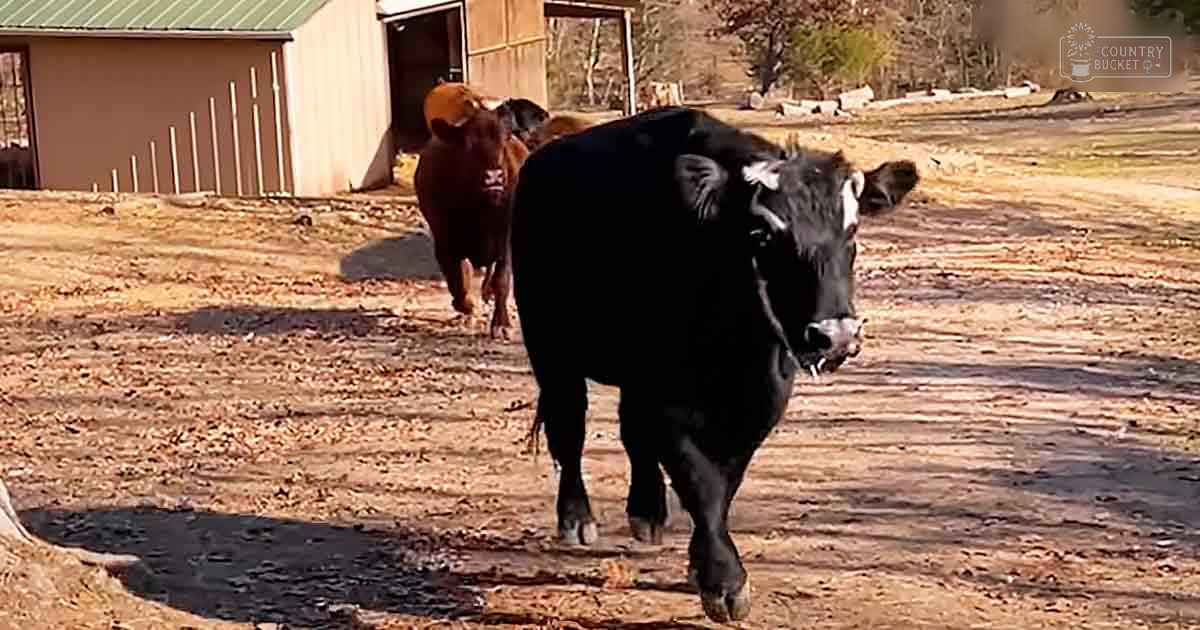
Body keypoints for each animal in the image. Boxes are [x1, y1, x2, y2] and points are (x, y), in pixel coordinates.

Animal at [414, 104, 530, 338]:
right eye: (467, 144)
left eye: (504, 140)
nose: (494, 177)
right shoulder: (444, 240)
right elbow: (457, 279)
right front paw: (467, 306)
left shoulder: (505, 239)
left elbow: (502, 279)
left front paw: (501, 324)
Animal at [510, 106, 918, 623]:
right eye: (763, 235)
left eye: (853, 231)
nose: (835, 335)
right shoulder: (665, 399)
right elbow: (699, 479)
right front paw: (724, 580)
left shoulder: (761, 400)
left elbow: (725, 480)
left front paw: (701, 562)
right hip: (550, 348)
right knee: (570, 427)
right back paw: (577, 517)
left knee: (630, 431)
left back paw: (648, 510)